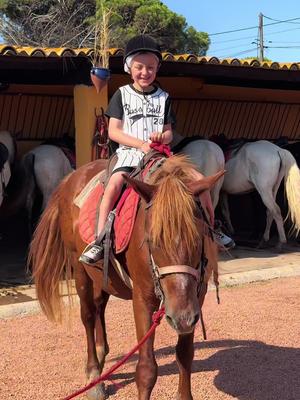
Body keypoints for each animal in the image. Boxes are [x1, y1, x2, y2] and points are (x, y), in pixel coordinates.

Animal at [29, 154, 223, 400]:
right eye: (152, 240)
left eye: (198, 238)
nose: (182, 317)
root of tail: (70, 178)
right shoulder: (143, 299)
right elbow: (147, 369)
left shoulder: (197, 299)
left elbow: (185, 355)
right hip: (79, 268)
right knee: (88, 315)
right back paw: (94, 375)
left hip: (104, 277)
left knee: (99, 305)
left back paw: (102, 355)